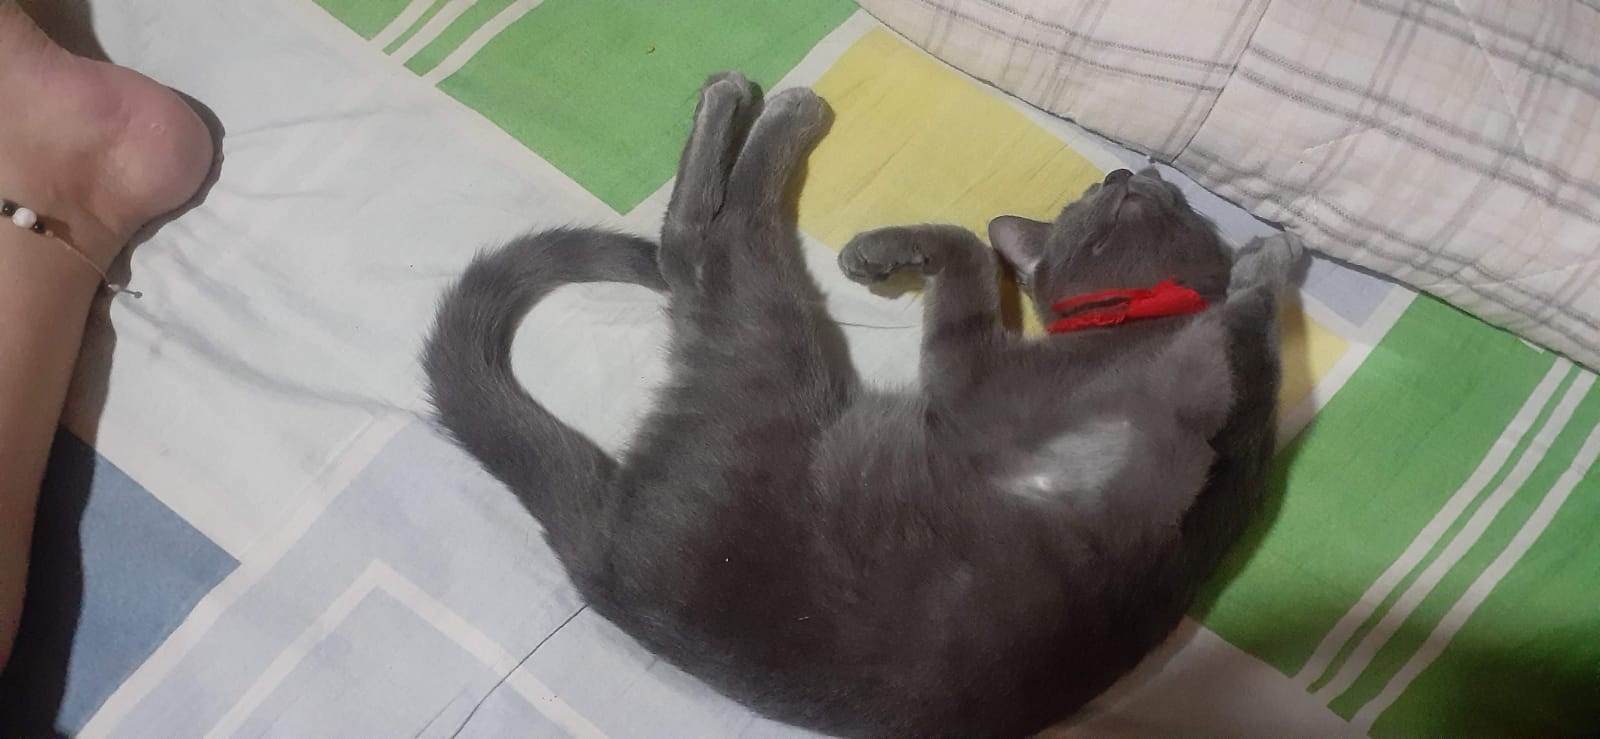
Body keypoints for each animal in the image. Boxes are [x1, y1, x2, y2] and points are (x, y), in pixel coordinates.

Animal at [424, 71, 1302, 738]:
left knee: (705, 248)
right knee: (696, 250)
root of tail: (603, 562)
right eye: (1092, 195)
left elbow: (1241, 336)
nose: (1123, 176)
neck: (1140, 322)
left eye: (1133, 190)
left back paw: (770, 105)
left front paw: (1267, 265)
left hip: (771, 355)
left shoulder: (977, 382)